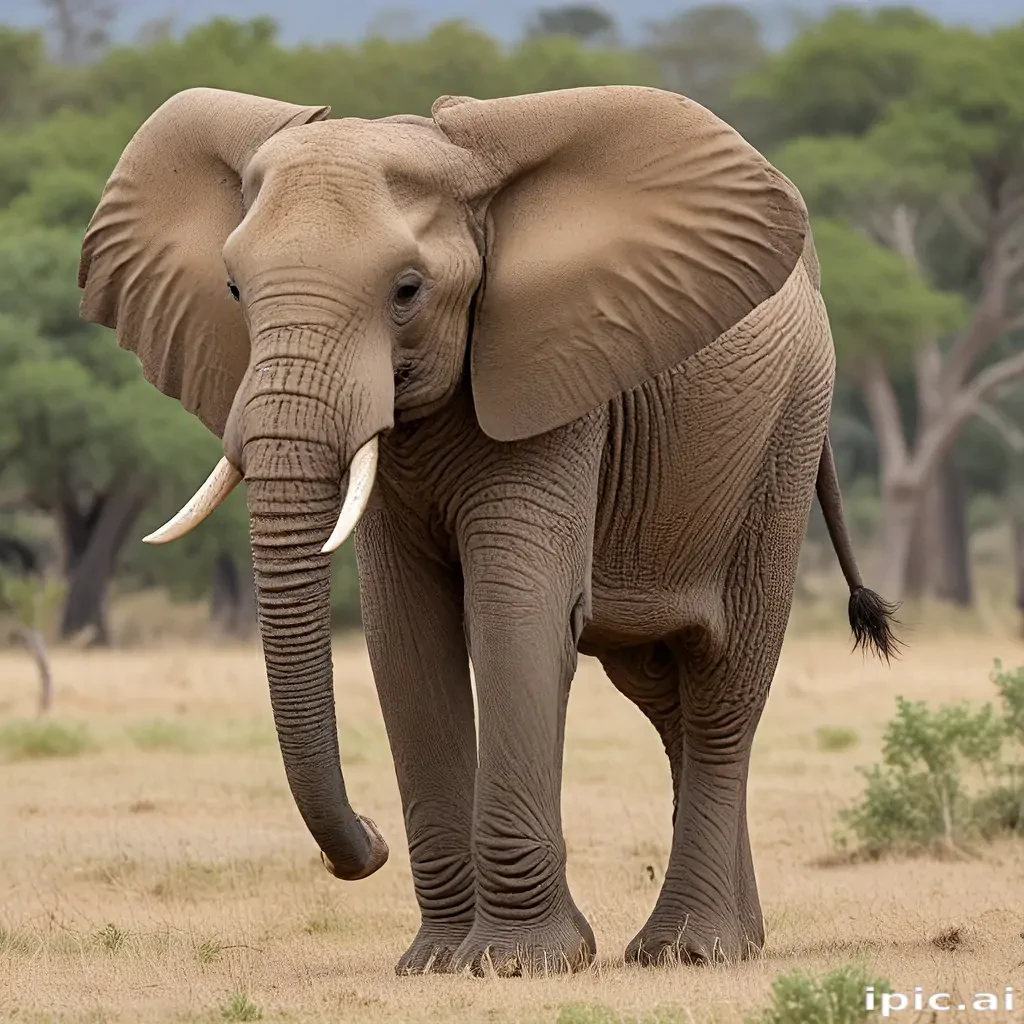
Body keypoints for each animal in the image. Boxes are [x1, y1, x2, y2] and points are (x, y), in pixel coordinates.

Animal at [77, 84, 899, 976]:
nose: (367, 842)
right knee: (663, 695)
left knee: (722, 686)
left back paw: (691, 950)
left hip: (785, 437)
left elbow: (516, 612)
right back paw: (732, 942)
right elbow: (406, 633)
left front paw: (521, 963)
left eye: (406, 290)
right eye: (232, 289)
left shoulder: (560, 380)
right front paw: (437, 962)